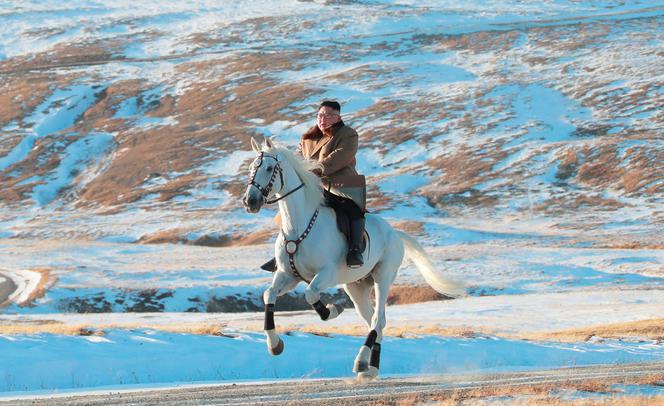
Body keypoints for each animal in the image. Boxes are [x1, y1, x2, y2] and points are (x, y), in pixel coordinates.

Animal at [241, 138, 464, 380]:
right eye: (251, 168)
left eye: (269, 168)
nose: (250, 201)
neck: (298, 225)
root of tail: (395, 233)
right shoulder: (288, 275)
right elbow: (269, 294)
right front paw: (274, 345)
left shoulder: (326, 274)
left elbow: (311, 294)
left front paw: (332, 310)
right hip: (356, 287)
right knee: (375, 323)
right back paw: (370, 368)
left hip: (382, 278)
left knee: (377, 320)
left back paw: (361, 362)